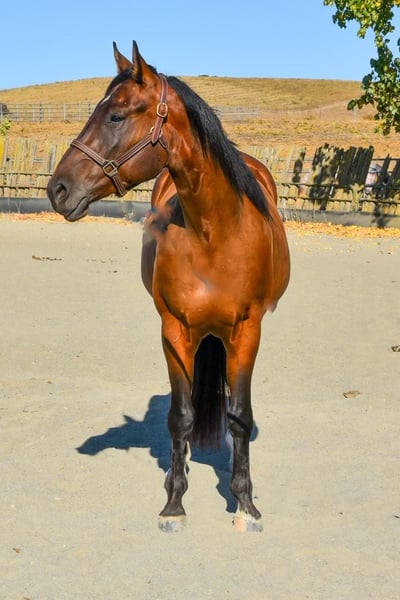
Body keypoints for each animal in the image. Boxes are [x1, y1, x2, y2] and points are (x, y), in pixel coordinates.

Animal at [47, 41, 290, 532]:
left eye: (116, 116)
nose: (57, 189)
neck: (215, 233)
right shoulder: (174, 330)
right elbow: (180, 417)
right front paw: (174, 503)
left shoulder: (247, 333)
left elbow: (240, 417)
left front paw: (245, 504)